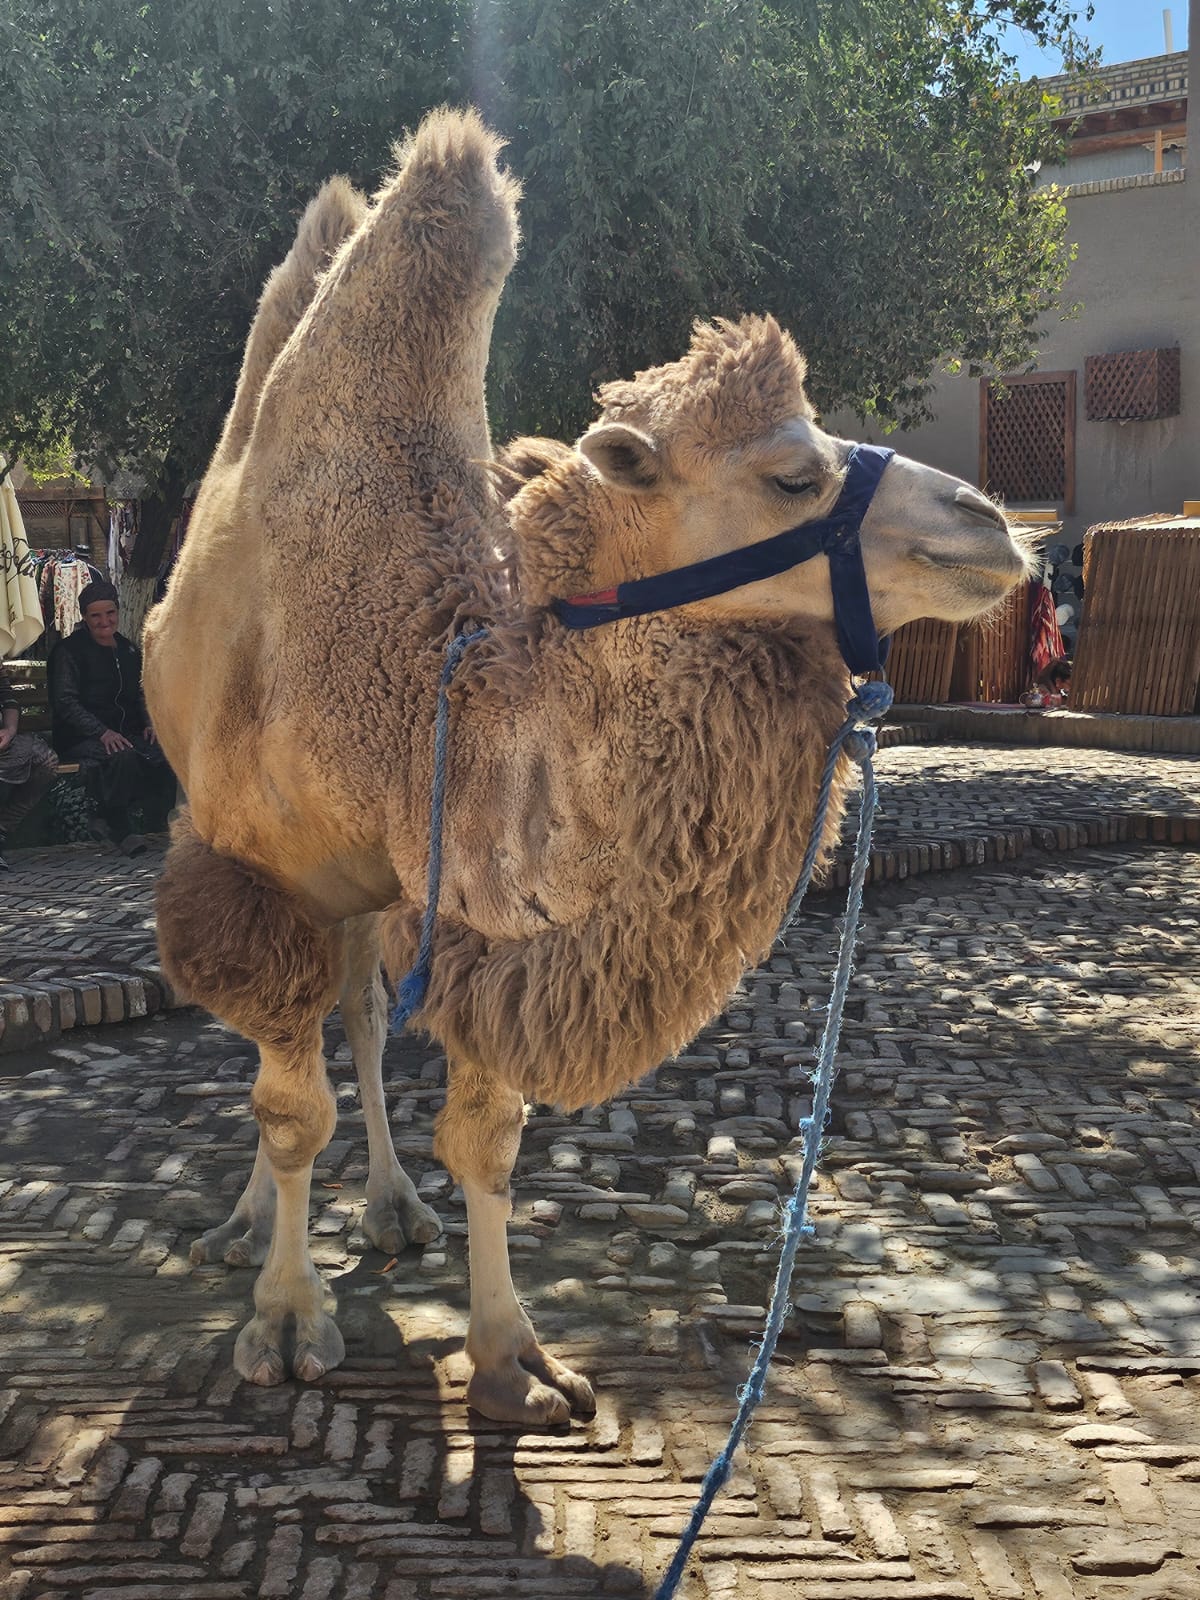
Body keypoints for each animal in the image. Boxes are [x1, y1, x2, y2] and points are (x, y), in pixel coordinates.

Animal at [143, 107, 1031, 1426]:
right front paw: (286, 1318)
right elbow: (293, 1105)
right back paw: (250, 1222)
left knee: (355, 1009)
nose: (994, 523)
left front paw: (512, 1352)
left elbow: (487, 1130)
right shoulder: (253, 866)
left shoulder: (461, 905)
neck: (414, 684)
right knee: (288, 1036)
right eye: (790, 473)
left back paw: (391, 1210)